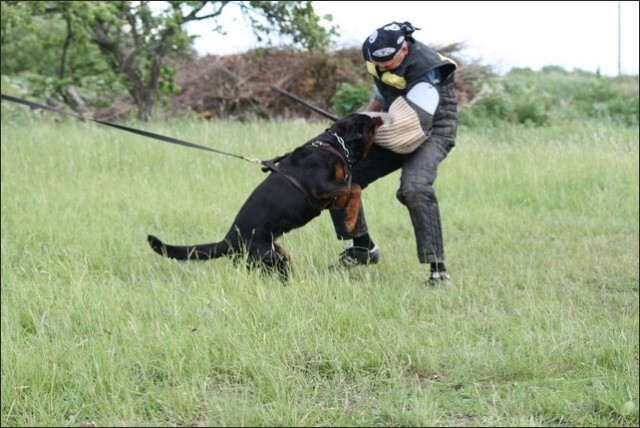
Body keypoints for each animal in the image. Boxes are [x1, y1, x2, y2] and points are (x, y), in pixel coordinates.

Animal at [148, 113, 382, 280]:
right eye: (369, 121)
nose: (380, 117)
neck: (335, 145)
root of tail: (228, 240)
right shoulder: (320, 185)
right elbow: (356, 187)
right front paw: (350, 219)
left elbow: (348, 190)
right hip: (271, 255)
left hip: (273, 253)